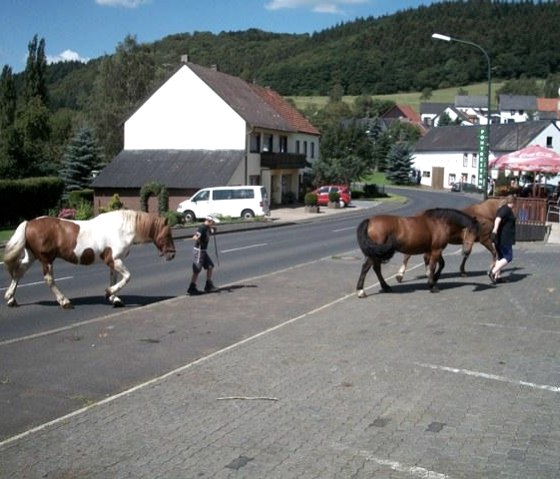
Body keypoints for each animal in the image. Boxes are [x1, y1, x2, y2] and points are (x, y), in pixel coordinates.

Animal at [3, 211, 175, 310]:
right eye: (167, 234)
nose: (172, 255)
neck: (121, 229)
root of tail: (29, 222)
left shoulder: (113, 262)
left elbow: (114, 279)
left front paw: (114, 298)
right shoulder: (114, 260)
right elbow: (127, 277)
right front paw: (109, 293)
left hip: (32, 256)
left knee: (18, 272)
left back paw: (11, 299)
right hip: (46, 259)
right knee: (49, 279)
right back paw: (64, 302)